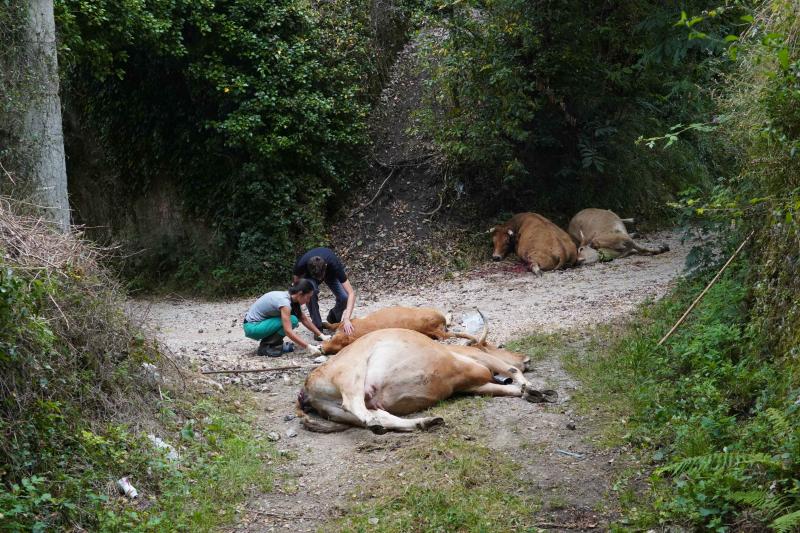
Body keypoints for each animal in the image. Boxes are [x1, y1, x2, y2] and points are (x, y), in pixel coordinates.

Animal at [298, 317, 556, 433]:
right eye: (497, 345)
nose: (526, 358)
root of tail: (305, 390)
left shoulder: (472, 385)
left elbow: (505, 389)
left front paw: (532, 392)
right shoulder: (477, 359)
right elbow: (510, 370)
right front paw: (531, 387)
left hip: (339, 410)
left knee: (381, 417)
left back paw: (425, 422)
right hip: (351, 375)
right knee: (355, 405)